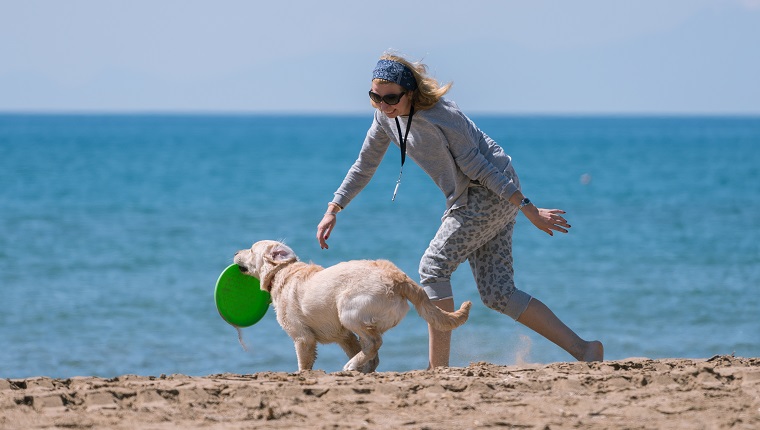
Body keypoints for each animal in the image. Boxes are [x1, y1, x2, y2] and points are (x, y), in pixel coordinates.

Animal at [233, 240, 470, 372]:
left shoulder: (303, 338)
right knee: (372, 350)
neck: (282, 272)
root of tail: (397, 277)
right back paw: (358, 367)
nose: (235, 252)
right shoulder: (343, 336)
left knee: (375, 342)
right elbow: (354, 347)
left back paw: (352, 365)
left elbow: (303, 364)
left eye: (251, 250)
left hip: (348, 310)